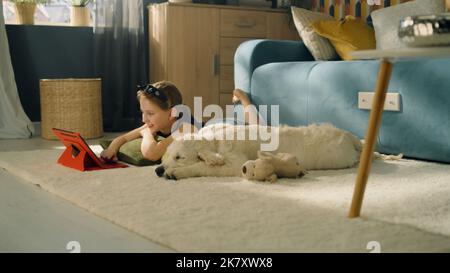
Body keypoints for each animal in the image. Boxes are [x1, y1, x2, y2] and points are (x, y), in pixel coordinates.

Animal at [155, 122, 362, 178]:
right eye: (167, 155)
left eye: (179, 157)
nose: (157, 170)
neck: (214, 141)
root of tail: (347, 134)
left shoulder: (235, 163)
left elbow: (204, 167)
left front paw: (177, 172)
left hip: (339, 156)